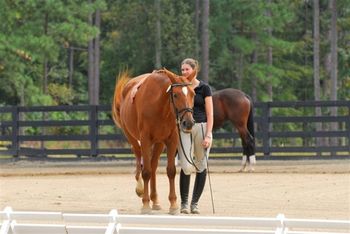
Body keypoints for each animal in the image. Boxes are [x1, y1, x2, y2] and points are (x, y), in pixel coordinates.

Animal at [112, 68, 196, 215]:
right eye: (175, 95)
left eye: (193, 94)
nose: (189, 123)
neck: (159, 105)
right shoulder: (145, 139)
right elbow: (146, 171)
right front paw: (145, 204)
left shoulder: (171, 140)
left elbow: (171, 171)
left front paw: (173, 204)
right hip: (133, 138)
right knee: (140, 160)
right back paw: (140, 189)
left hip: (159, 143)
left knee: (153, 165)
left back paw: (155, 200)